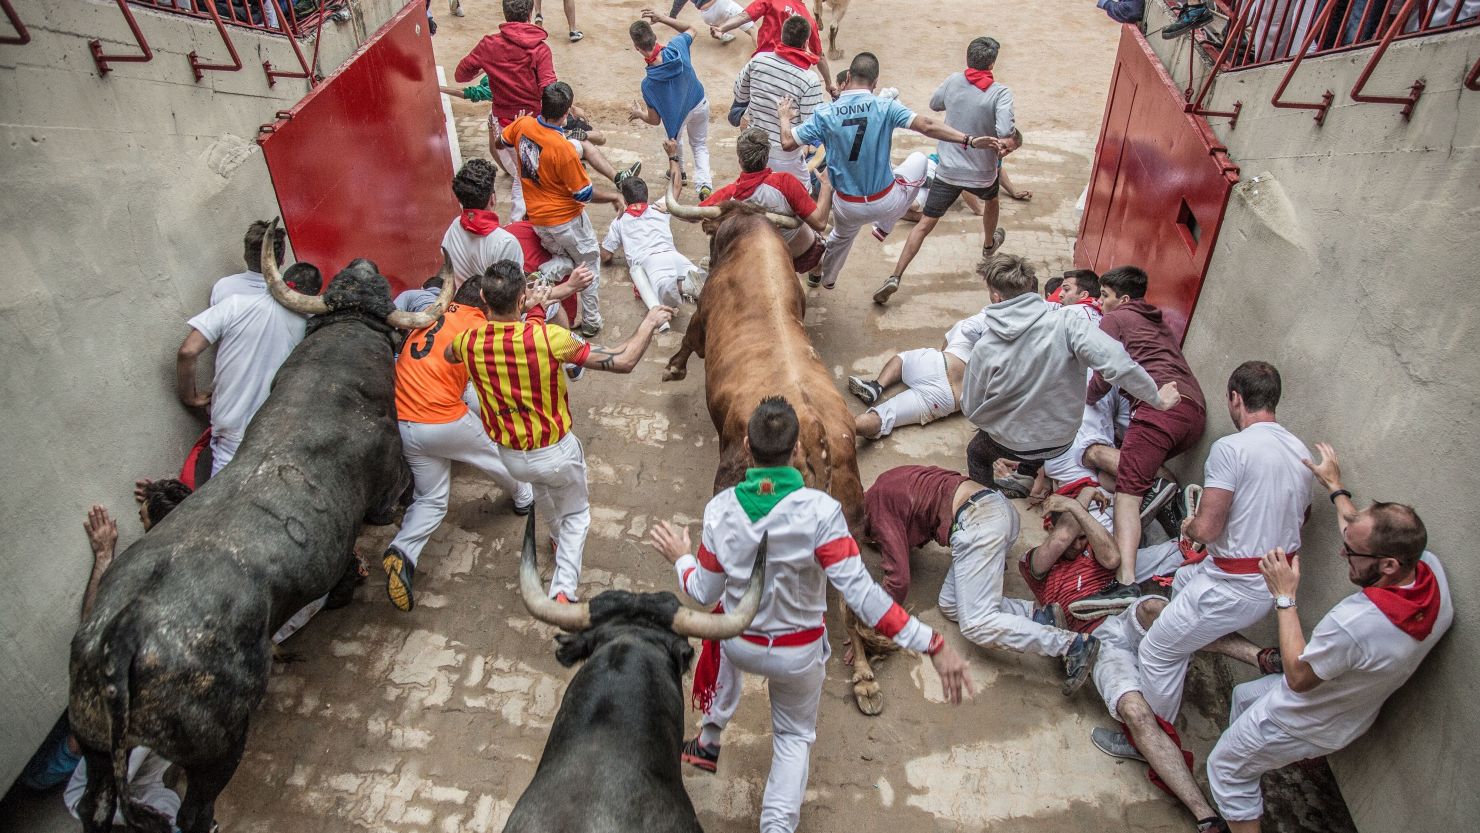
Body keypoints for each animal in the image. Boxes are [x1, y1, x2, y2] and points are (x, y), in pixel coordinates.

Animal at [68, 247, 449, 833]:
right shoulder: (388, 492)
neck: (332, 369)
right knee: (195, 811)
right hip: (220, 743)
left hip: (90, 740)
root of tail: (123, 635)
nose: (363, 262)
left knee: (94, 804)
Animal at [671, 198, 888, 713]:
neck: (751, 238)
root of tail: (812, 427)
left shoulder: (701, 321)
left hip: (733, 485)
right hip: (851, 515)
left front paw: (671, 368)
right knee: (851, 599)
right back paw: (865, 680)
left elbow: (687, 341)